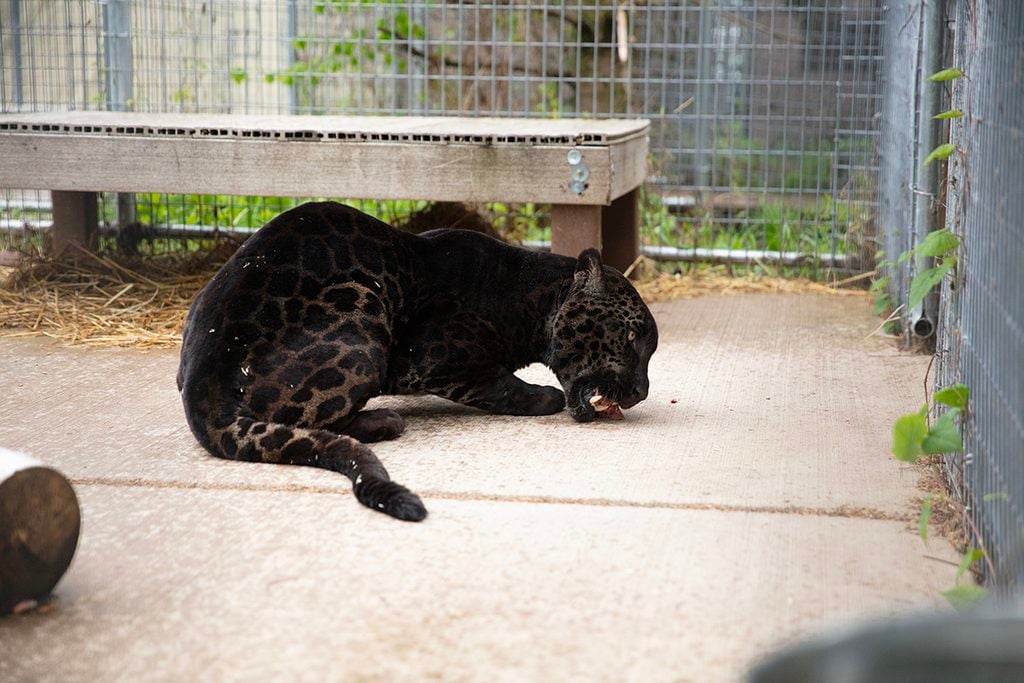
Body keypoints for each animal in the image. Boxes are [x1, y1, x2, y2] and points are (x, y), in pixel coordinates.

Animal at [177, 201, 658, 522]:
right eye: (633, 338)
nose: (640, 392)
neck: (530, 296)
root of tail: (202, 386)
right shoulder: (439, 359)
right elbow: (507, 386)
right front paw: (542, 395)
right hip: (363, 314)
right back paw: (386, 421)